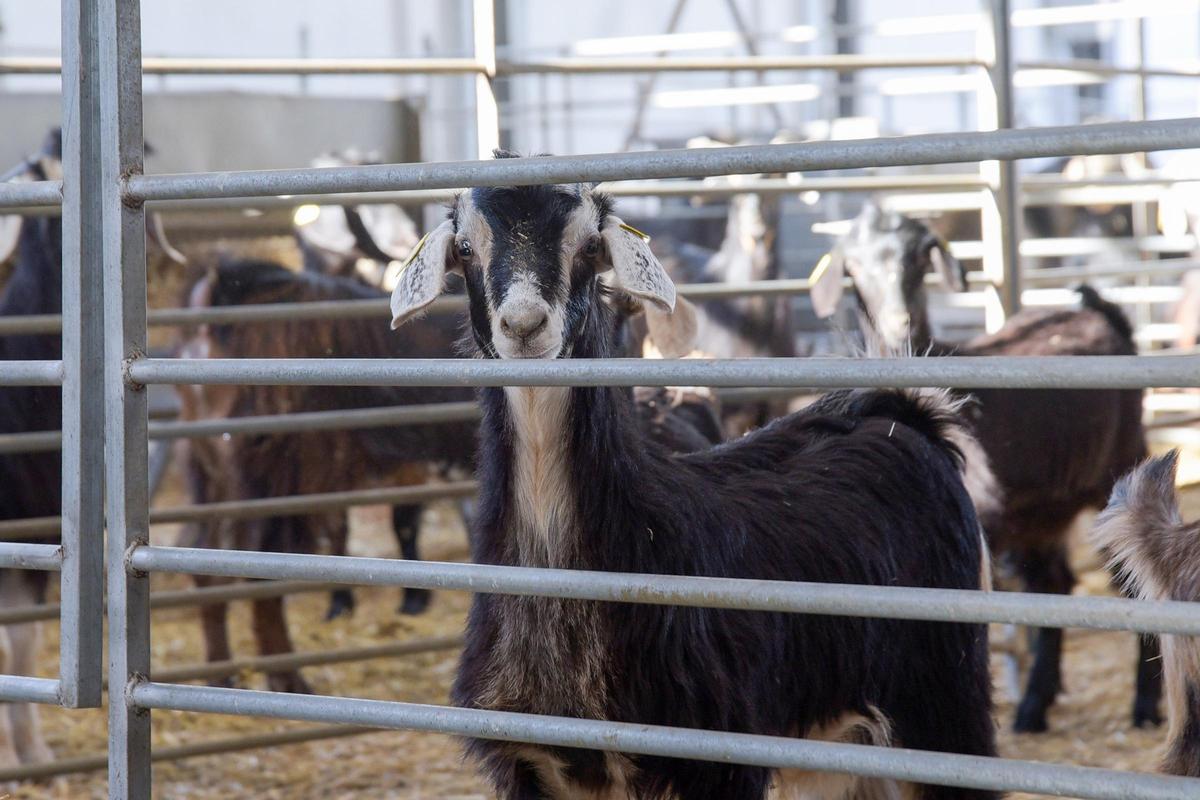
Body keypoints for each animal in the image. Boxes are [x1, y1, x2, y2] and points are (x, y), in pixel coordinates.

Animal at [389, 162, 996, 800]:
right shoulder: (533, 764)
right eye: (464, 248)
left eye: (588, 245)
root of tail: (902, 415)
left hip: (942, 695)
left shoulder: (720, 755)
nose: (525, 325)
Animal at [812, 202, 1156, 733]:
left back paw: (1143, 706)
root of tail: (1099, 310)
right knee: (1053, 582)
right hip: (1041, 509)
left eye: (920, 258)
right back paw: (1035, 705)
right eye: (855, 266)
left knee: (1132, 583)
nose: (898, 320)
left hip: (1116, 467)